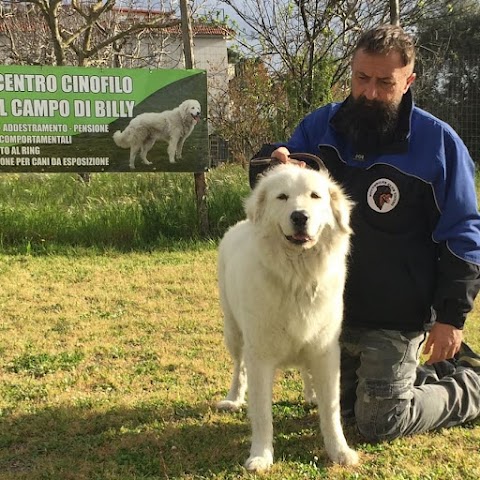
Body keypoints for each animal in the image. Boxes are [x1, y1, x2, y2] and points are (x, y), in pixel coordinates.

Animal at [216, 163, 358, 470]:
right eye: (282, 197)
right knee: (238, 369)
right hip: (234, 333)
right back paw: (233, 399)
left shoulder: (326, 351)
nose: (299, 216)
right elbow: (262, 415)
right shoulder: (260, 357)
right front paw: (260, 456)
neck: (297, 278)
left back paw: (311, 394)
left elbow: (332, 410)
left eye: (315, 196)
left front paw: (339, 451)